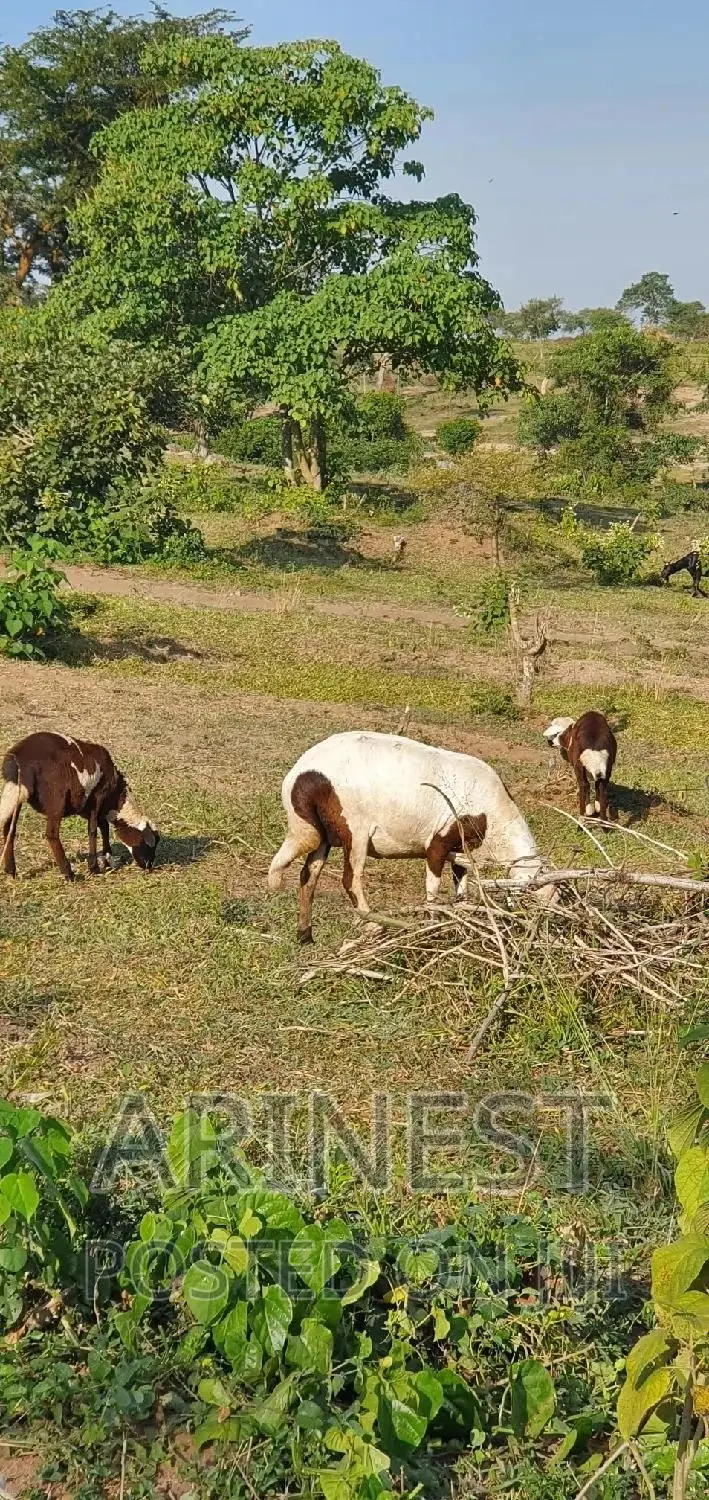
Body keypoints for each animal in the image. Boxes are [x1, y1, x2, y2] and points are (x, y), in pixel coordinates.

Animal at [0, 731, 159, 881]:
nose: (149, 867)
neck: (115, 800)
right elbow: (93, 830)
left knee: (9, 829)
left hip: (16, 794)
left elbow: (103, 827)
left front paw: (107, 860)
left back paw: (10, 869)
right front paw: (94, 868)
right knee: (51, 833)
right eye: (148, 845)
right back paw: (68, 873)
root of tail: (18, 759)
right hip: (56, 798)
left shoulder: (85, 806)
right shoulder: (98, 797)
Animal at [268, 730, 554, 942]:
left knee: (309, 875)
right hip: (354, 828)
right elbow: (432, 889)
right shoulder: (438, 842)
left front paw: (462, 917)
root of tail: (298, 776)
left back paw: (305, 934)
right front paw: (433, 926)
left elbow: (461, 889)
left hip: (323, 833)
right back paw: (374, 926)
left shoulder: (462, 852)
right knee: (350, 879)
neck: (495, 818)